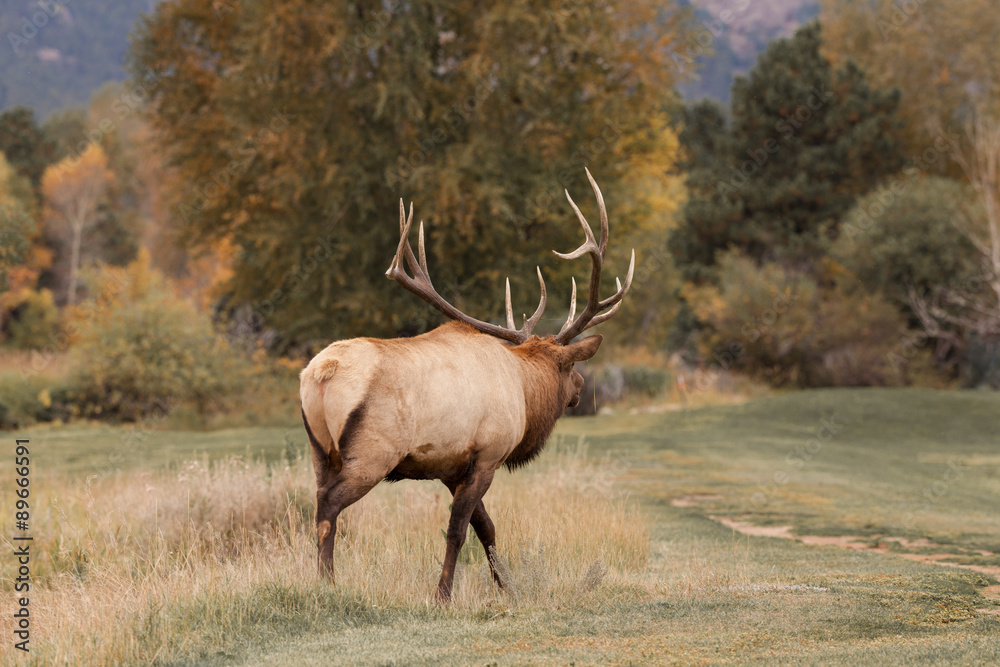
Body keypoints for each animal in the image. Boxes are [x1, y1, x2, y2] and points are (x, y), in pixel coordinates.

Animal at [299, 169, 634, 602]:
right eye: (569, 366)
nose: (579, 387)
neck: (523, 392)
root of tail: (322, 372)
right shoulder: (489, 453)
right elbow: (459, 530)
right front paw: (443, 594)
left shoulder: (451, 466)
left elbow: (485, 527)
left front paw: (507, 586)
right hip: (372, 453)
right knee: (328, 506)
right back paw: (327, 584)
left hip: (319, 450)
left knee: (319, 501)